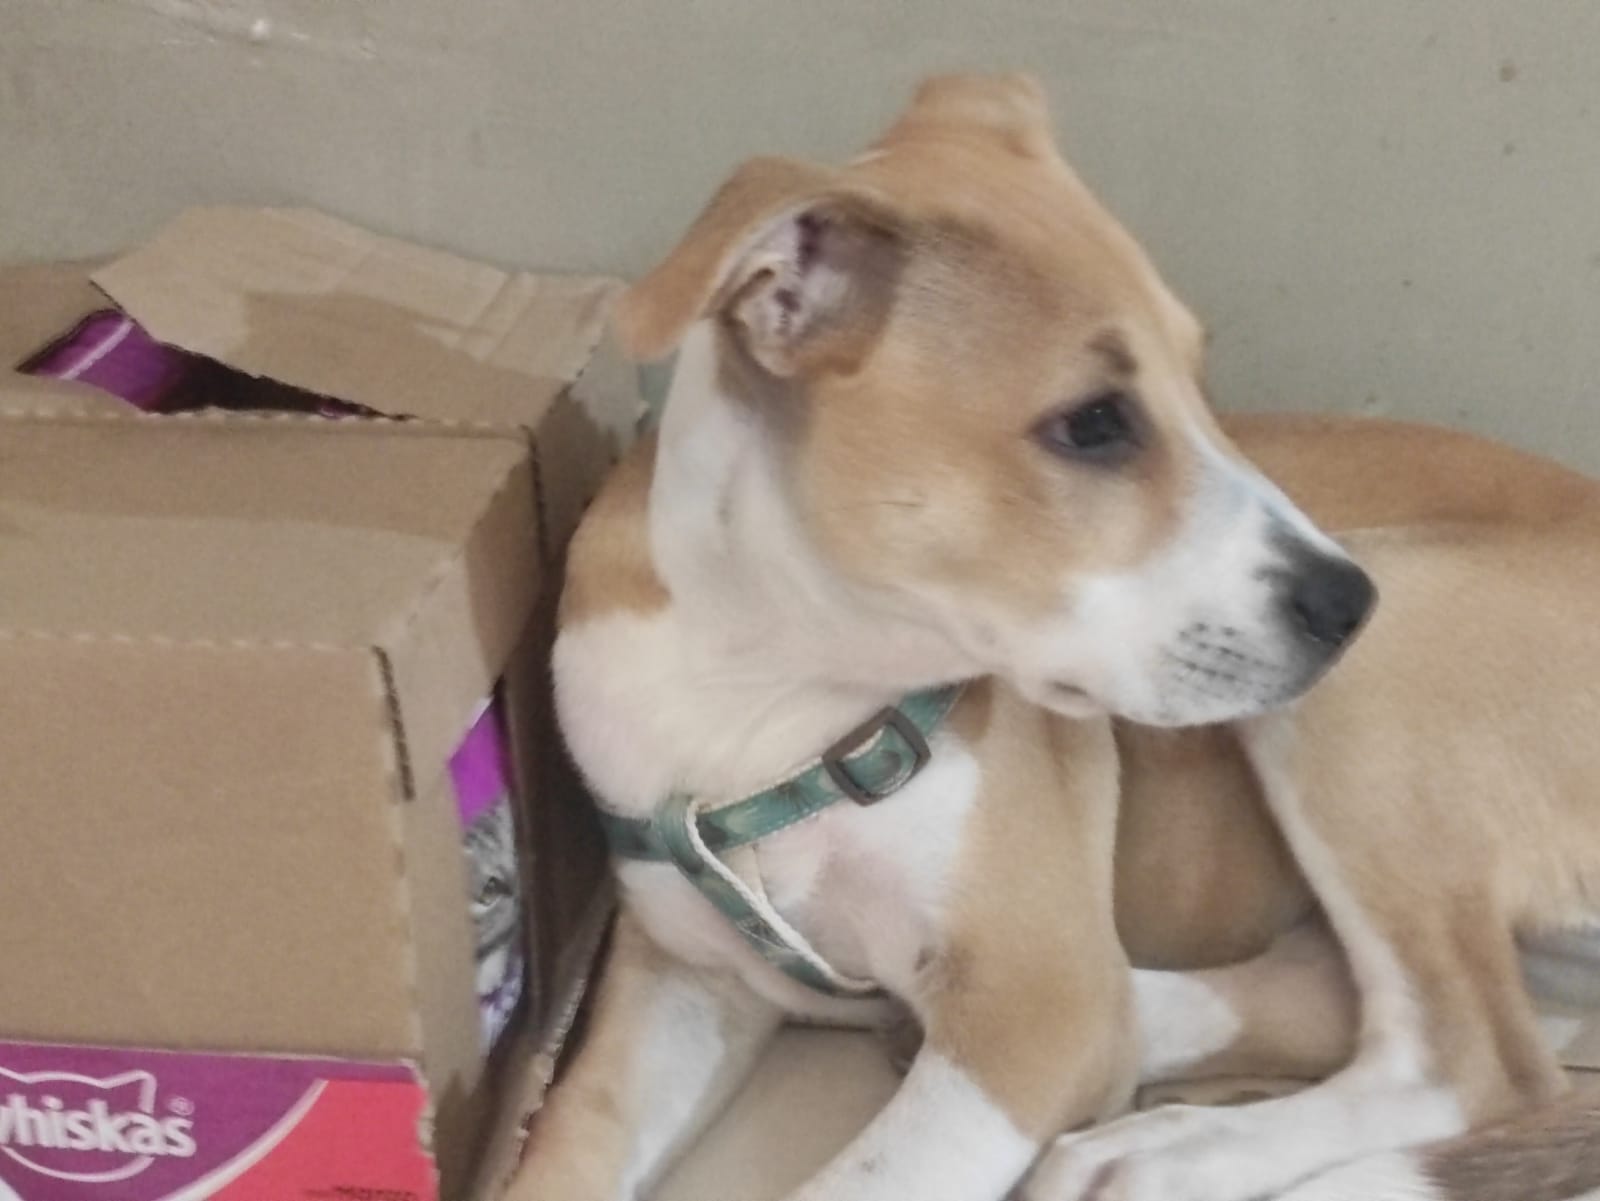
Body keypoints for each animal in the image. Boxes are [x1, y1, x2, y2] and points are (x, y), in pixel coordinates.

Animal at [511, 74, 1600, 1201]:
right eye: (1093, 423)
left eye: (1198, 380)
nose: (1349, 601)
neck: (768, 687)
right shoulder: (677, 985)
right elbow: (563, 1149)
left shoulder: (1029, 1011)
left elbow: (865, 1177)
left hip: (1380, 683)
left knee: (1473, 1061)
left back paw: (1165, 1151)